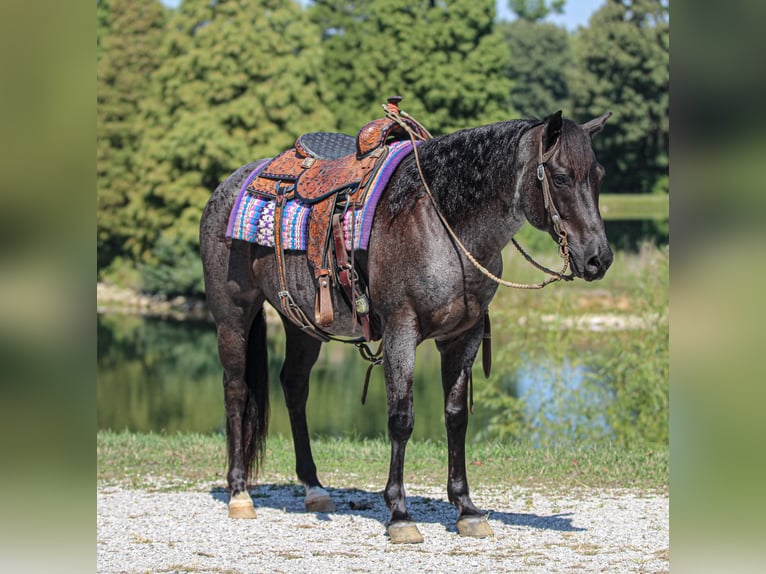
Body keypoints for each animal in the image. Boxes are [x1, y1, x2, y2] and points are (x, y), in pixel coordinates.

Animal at [199, 109, 613, 543]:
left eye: (599, 175)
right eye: (561, 176)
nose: (599, 259)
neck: (441, 225)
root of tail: (229, 184)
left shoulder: (462, 337)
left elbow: (456, 417)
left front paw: (466, 508)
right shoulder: (401, 331)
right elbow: (401, 418)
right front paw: (399, 513)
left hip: (302, 324)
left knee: (294, 387)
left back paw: (314, 488)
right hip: (232, 316)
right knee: (236, 390)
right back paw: (239, 492)